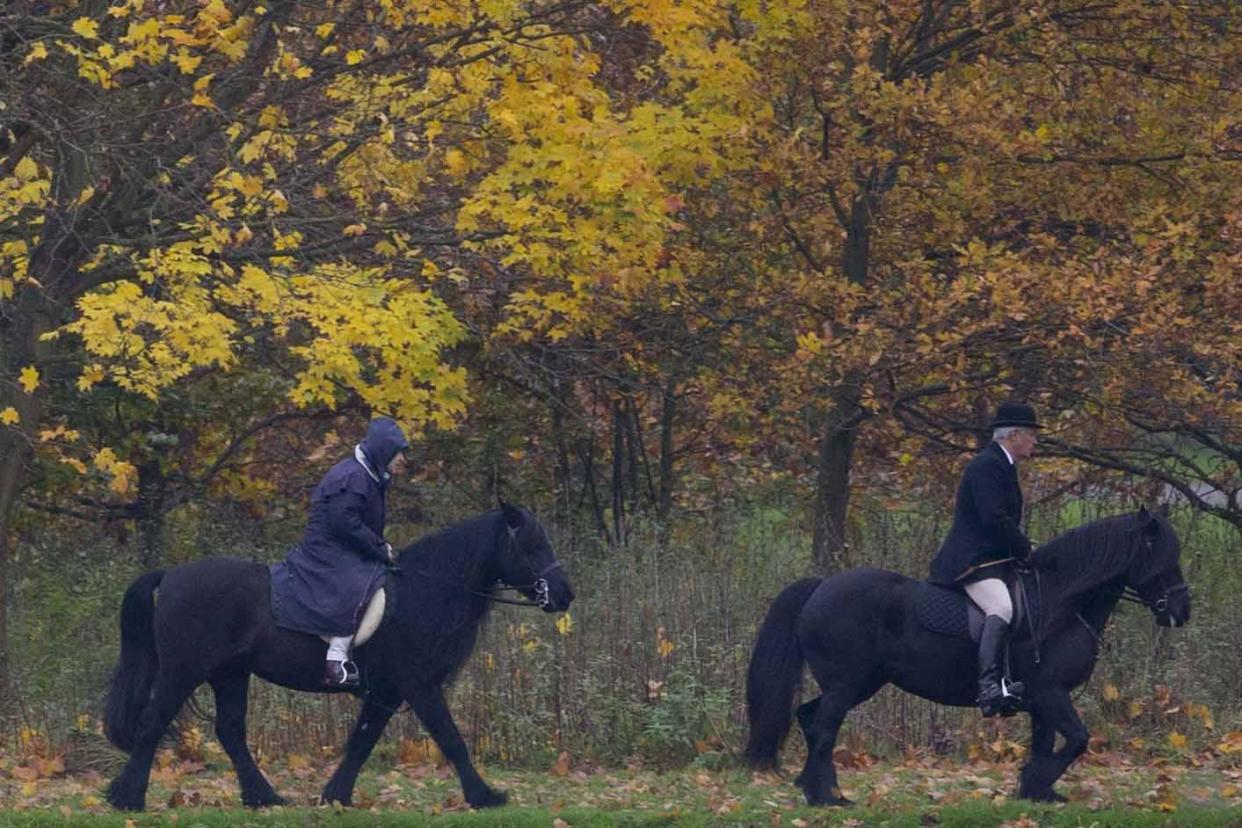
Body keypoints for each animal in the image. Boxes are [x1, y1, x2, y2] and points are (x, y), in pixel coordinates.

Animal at [104, 501, 573, 814]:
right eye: (532, 545)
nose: (564, 595)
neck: (425, 591)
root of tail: (171, 575)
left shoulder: (387, 691)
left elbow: (362, 742)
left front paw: (335, 796)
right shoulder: (419, 685)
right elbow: (451, 739)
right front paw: (485, 796)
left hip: (230, 673)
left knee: (230, 731)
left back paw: (264, 797)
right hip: (183, 671)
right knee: (152, 724)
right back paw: (128, 799)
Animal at [745, 508, 1192, 804]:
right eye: (1164, 557)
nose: (1181, 612)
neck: (1062, 601)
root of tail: (821, 586)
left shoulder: (1043, 699)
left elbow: (1047, 741)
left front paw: (1038, 792)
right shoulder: (1051, 692)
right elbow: (1077, 740)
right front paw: (1034, 782)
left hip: (861, 683)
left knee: (809, 718)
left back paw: (817, 788)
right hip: (846, 683)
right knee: (823, 728)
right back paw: (826, 798)